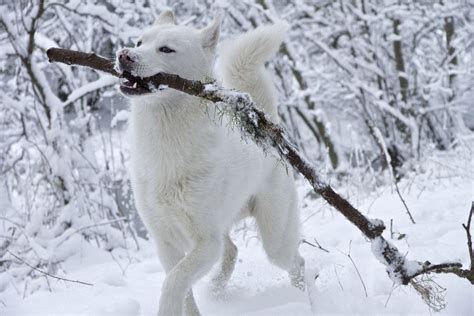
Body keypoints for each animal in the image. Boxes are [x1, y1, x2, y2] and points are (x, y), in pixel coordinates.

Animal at [116, 9, 306, 316]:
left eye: (166, 49)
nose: (123, 55)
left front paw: (166, 308)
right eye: (139, 42)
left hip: (275, 238)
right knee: (232, 251)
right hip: (225, 227)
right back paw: (216, 288)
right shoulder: (165, 240)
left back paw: (306, 298)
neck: (166, 141)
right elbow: (183, 288)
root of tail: (266, 125)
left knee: (297, 263)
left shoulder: (206, 243)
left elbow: (174, 281)